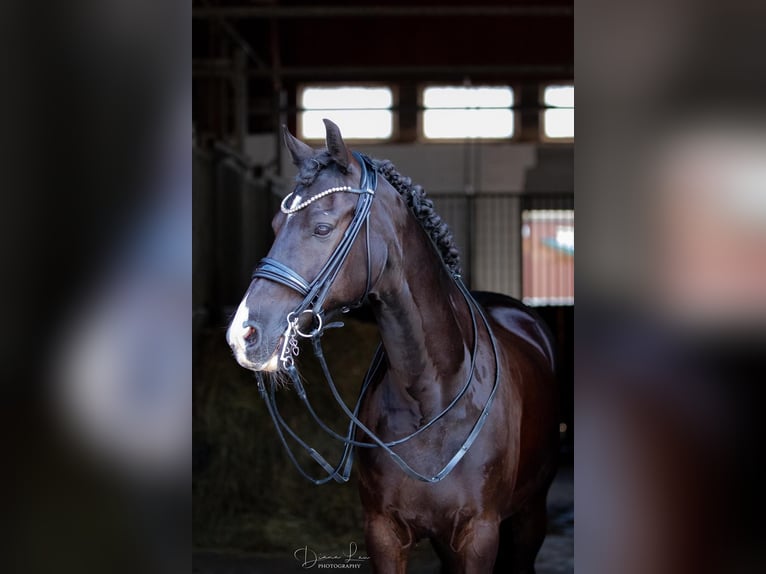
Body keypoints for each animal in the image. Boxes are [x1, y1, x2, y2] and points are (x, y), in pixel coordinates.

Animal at [225, 119, 560, 572]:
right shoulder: (383, 533)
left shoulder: (479, 536)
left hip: (529, 518)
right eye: (276, 225)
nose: (244, 333)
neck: (431, 398)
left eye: (322, 227)